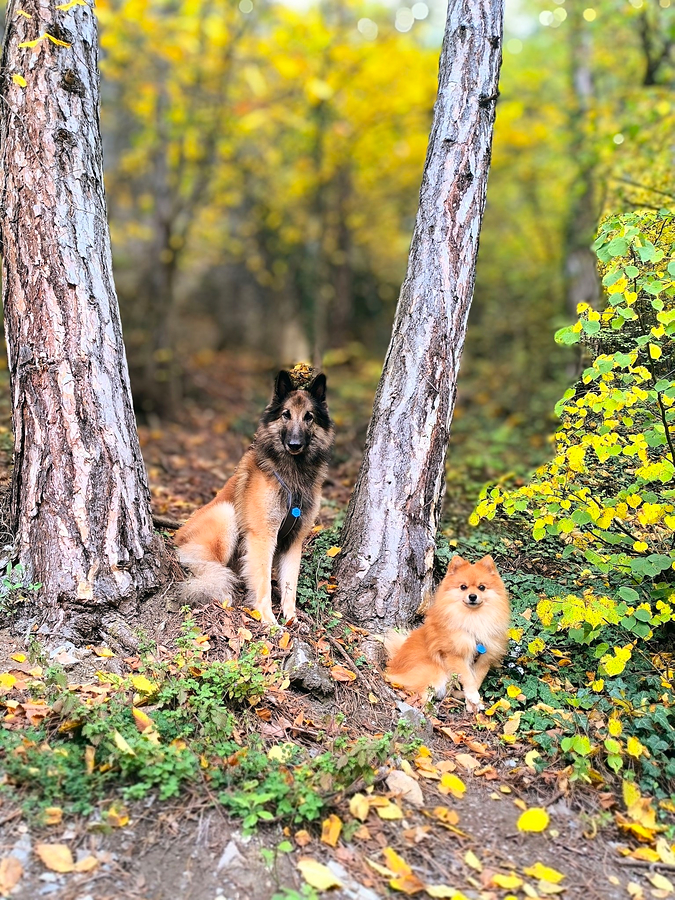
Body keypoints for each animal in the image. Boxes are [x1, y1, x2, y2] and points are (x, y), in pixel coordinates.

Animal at [175, 370, 334, 625]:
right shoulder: (262, 537)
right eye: (286, 415)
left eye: (308, 417)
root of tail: (178, 535)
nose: (295, 444)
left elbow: (290, 583)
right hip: (226, 515)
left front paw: (291, 619)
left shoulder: (293, 542)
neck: (293, 476)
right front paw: (269, 620)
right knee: (208, 566)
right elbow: (263, 583)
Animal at [384, 555, 510, 713]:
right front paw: (473, 696)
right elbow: (468, 677)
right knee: (423, 695)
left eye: (482, 587)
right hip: (434, 672)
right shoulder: (454, 654)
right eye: (463, 587)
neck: (473, 619)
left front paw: (472, 703)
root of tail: (394, 663)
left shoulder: (484, 658)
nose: (472, 596)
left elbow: (477, 679)